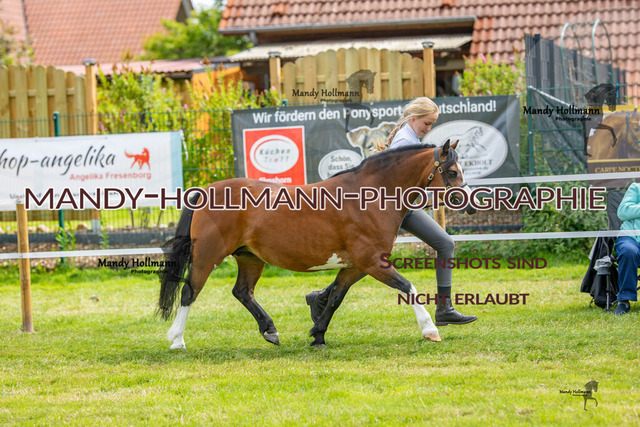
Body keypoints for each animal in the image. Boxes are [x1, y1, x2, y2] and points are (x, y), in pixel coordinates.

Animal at [157, 140, 475, 349]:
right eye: (452, 172)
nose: (471, 206)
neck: (369, 196)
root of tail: (206, 191)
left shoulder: (356, 266)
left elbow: (335, 298)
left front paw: (318, 335)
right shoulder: (373, 261)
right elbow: (408, 288)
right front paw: (430, 330)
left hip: (250, 258)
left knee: (242, 292)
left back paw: (270, 331)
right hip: (207, 256)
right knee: (189, 292)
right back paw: (177, 340)